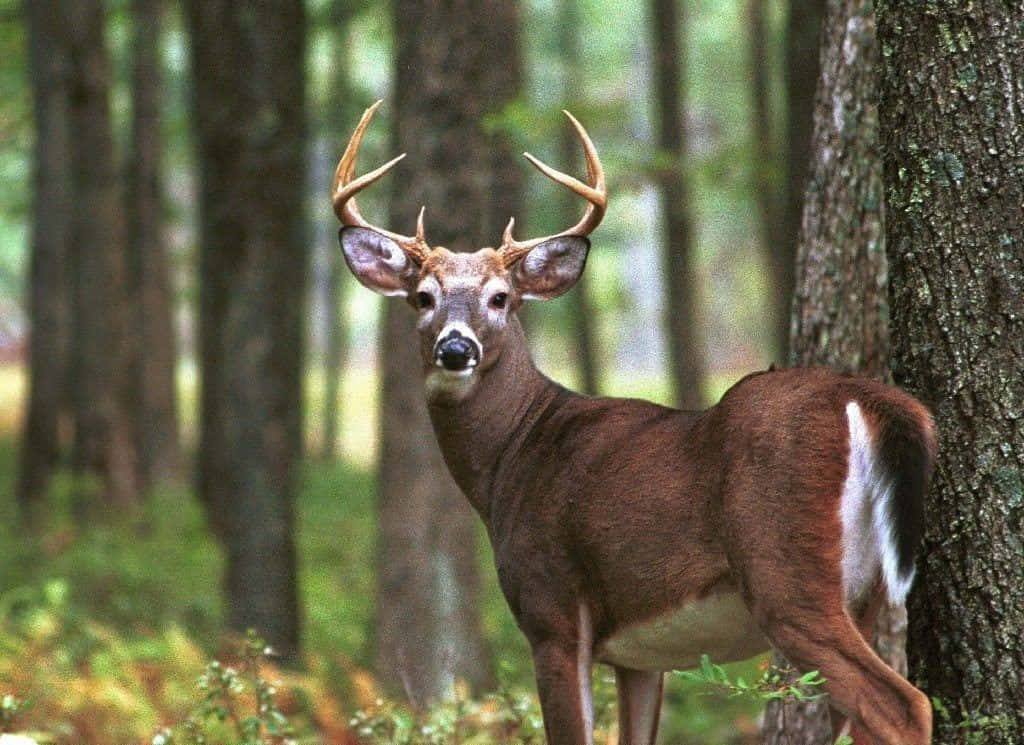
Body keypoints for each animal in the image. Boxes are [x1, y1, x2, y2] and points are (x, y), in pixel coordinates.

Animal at [331, 101, 935, 745]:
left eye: (500, 298)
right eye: (423, 297)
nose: (455, 348)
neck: (512, 457)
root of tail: (866, 398)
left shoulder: (552, 609)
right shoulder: (639, 657)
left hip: (787, 570)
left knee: (900, 704)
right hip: (865, 592)